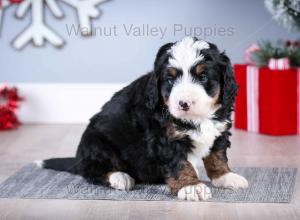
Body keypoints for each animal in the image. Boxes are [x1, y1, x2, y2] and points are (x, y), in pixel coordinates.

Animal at [38, 36, 248, 201]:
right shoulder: (165, 138)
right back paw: (120, 177)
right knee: (92, 171)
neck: (197, 118)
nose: (184, 103)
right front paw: (190, 187)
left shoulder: (220, 129)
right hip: (96, 144)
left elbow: (217, 156)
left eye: (203, 76)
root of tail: (79, 158)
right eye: (170, 79)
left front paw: (226, 176)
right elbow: (180, 163)